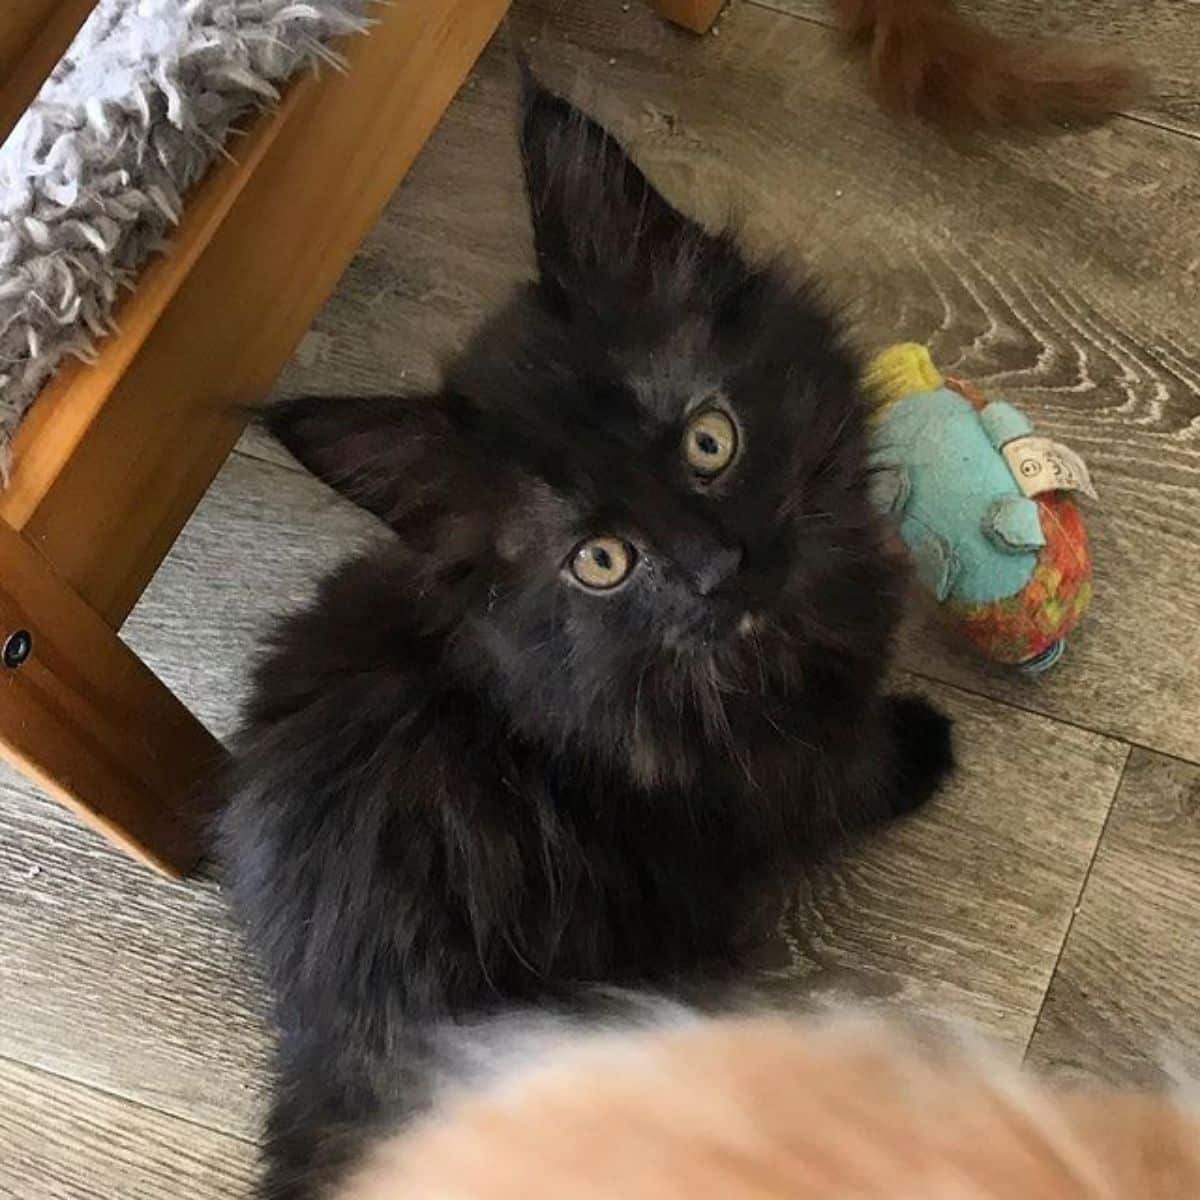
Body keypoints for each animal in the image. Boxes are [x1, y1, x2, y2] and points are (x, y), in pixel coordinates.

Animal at [220, 79, 955, 1195]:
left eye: (709, 440)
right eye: (600, 561)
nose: (717, 567)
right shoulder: (773, 779)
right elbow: (851, 774)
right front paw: (921, 747)